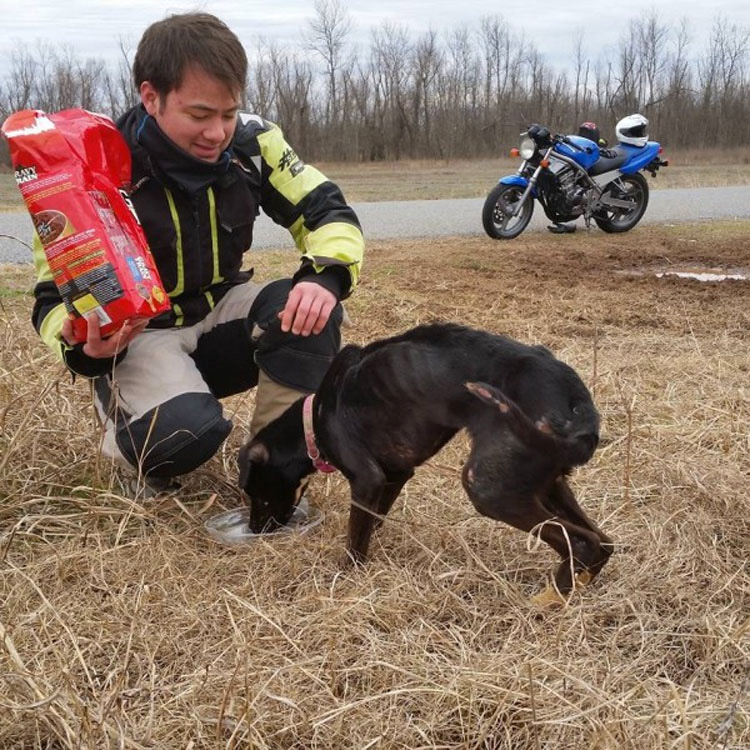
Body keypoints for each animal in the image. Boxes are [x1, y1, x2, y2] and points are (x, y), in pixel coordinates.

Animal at [238, 324, 612, 600]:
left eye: (257, 493)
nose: (254, 530)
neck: (313, 420)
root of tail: (582, 413)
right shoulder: (395, 474)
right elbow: (373, 520)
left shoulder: (367, 478)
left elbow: (355, 540)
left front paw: (346, 577)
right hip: (545, 481)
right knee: (601, 542)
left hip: (488, 487)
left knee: (581, 542)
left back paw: (546, 601)